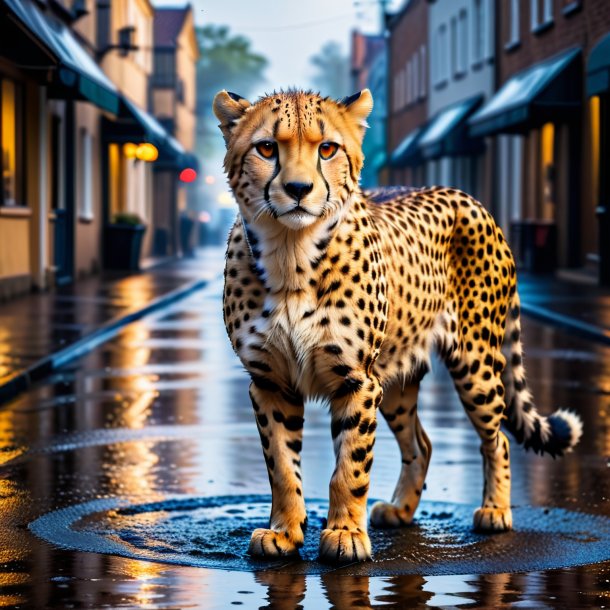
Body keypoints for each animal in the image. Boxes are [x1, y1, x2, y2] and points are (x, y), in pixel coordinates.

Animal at [213, 88, 580, 564]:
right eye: (266, 148)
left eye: (327, 149)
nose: (298, 189)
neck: (292, 253)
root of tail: (468, 197)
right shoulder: (270, 382)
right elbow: (281, 466)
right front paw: (285, 532)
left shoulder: (356, 380)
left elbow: (350, 466)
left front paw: (345, 534)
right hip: (396, 379)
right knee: (421, 444)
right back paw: (402, 509)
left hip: (474, 362)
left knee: (496, 437)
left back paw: (495, 511)